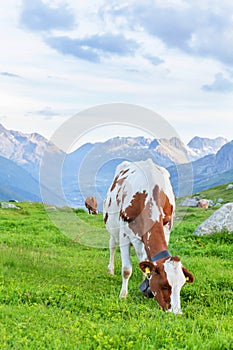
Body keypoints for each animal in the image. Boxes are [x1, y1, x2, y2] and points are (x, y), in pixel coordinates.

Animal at [103, 159, 193, 314]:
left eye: (181, 285)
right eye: (164, 285)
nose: (177, 313)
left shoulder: (166, 228)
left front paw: (146, 280)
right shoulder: (124, 232)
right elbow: (126, 269)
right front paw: (123, 295)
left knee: (142, 255)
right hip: (113, 228)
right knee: (112, 245)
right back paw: (111, 270)